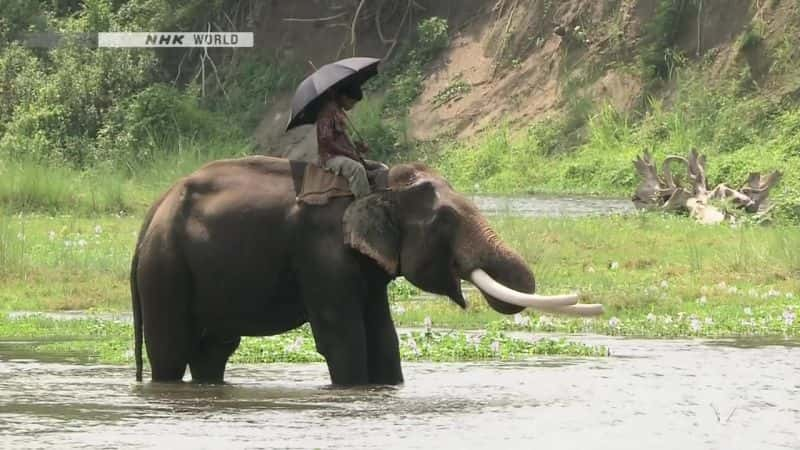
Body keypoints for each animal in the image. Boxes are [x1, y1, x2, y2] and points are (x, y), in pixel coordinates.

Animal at [131, 156, 604, 384]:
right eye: (445, 221)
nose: (592, 300)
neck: (378, 180)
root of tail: (151, 214)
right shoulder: (321, 254)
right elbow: (343, 338)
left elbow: (383, 336)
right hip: (165, 267)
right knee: (171, 350)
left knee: (213, 350)